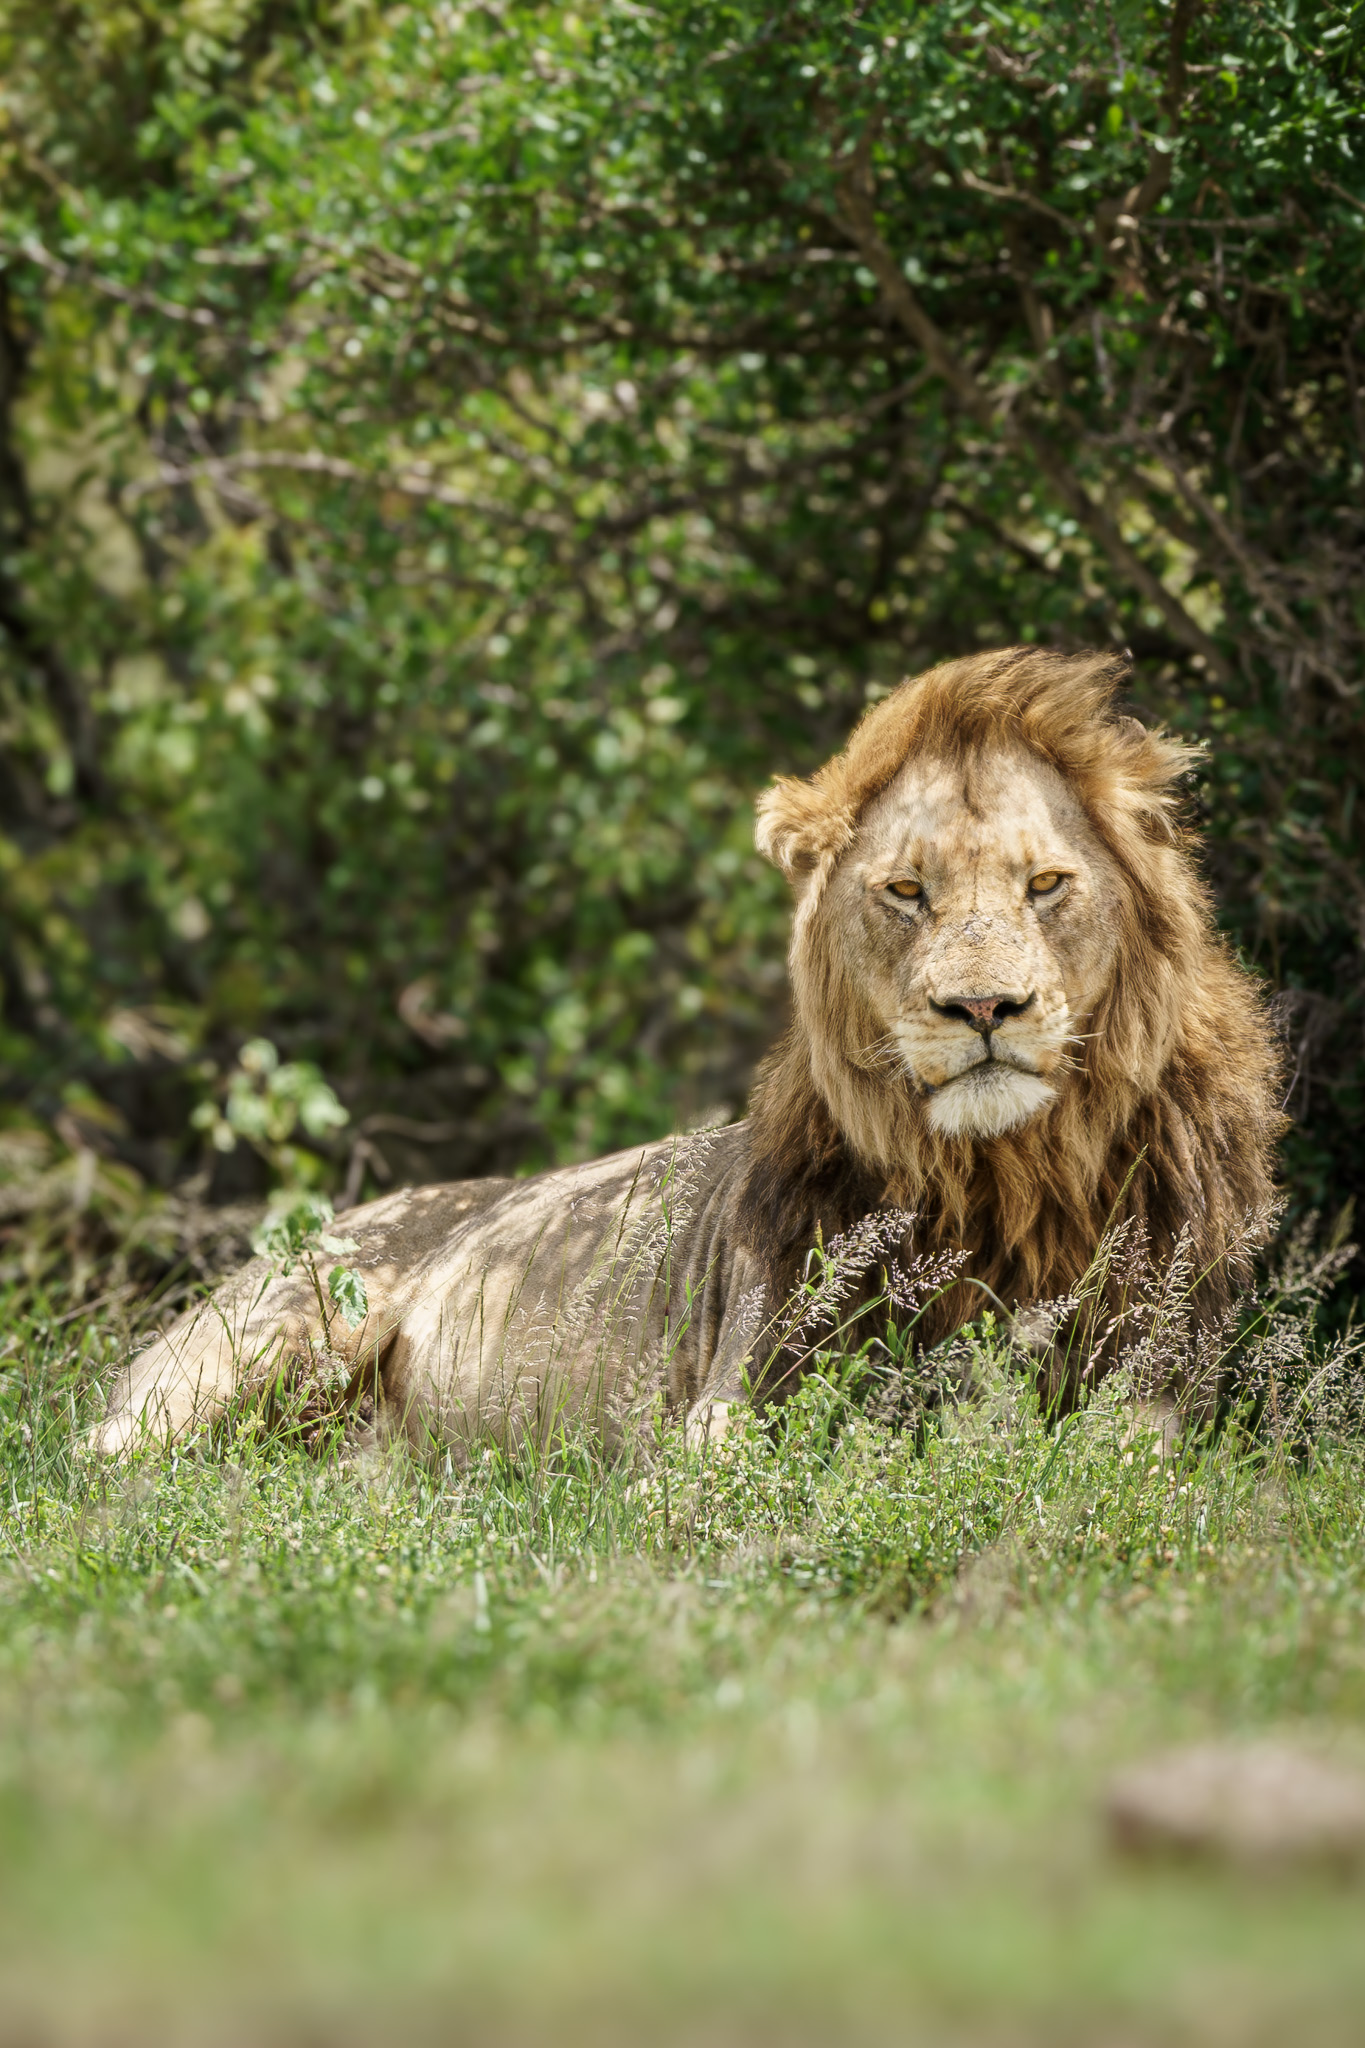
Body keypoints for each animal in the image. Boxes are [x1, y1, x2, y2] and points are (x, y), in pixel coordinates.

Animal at [95, 646, 1282, 1457]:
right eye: (907, 890)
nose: (982, 1005)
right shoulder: (740, 1394)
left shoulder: (1153, 1385)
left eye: (1045, 884)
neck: (1005, 1181)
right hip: (265, 1344)